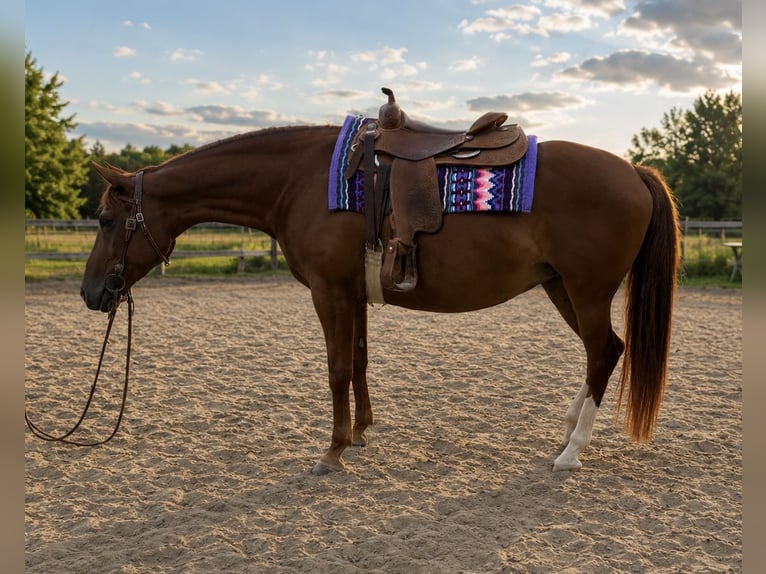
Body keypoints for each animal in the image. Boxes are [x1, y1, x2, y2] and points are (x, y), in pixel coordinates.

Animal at [81, 124, 680, 475]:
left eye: (107, 219)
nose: (90, 293)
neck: (299, 180)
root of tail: (633, 170)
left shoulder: (329, 293)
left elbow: (338, 368)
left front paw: (333, 450)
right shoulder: (354, 294)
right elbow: (361, 361)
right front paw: (362, 432)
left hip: (586, 289)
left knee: (605, 351)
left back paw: (571, 453)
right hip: (560, 287)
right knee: (601, 353)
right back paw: (566, 434)